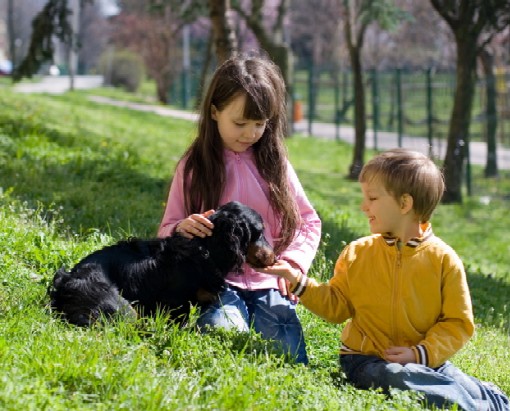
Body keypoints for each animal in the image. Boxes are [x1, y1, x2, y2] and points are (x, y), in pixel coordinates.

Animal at [48, 201, 274, 326]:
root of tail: (65, 280)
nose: (274, 258)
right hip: (123, 308)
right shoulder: (176, 305)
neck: (206, 249)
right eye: (260, 231)